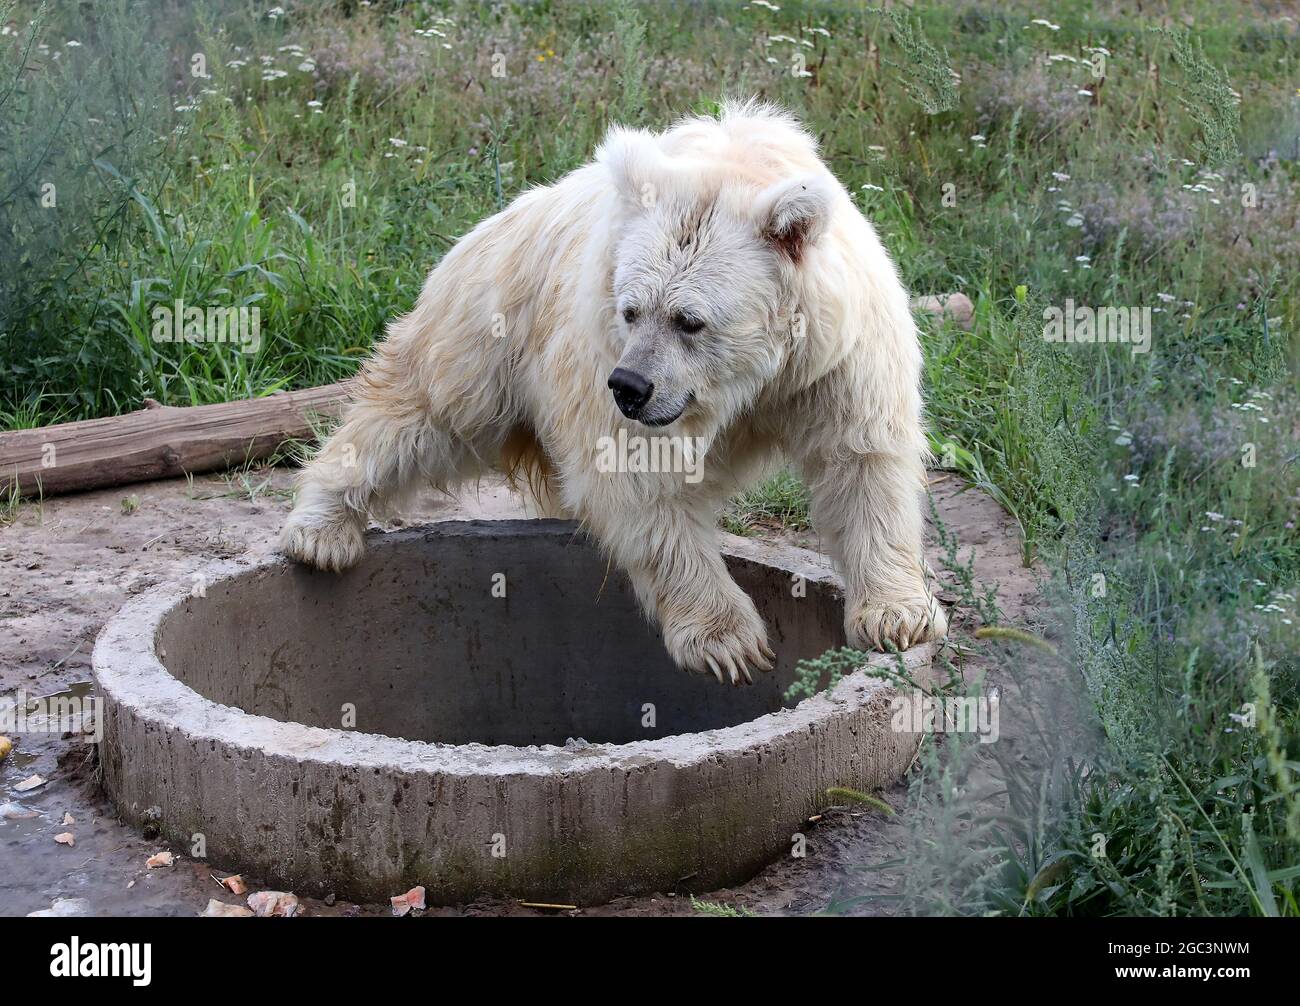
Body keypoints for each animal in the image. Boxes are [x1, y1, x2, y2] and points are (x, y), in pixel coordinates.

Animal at [280, 99, 947, 685]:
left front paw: (898, 615)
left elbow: (860, 459)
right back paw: (321, 530)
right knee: (421, 414)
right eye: (631, 309)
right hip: (489, 327)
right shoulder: (601, 355)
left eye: (689, 320)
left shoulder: (837, 358)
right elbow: (637, 478)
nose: (631, 387)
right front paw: (730, 642)